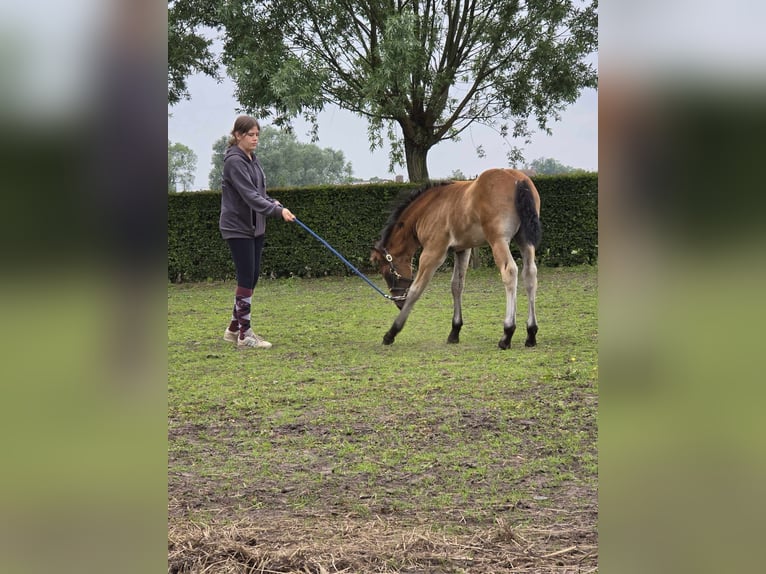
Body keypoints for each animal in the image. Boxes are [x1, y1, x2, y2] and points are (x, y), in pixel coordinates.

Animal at [370, 169, 540, 348]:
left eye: (387, 273)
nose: (398, 302)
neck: (429, 208)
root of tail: (518, 180)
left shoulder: (433, 252)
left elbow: (416, 289)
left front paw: (391, 332)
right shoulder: (462, 250)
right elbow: (457, 285)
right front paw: (455, 330)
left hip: (498, 241)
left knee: (510, 272)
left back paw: (507, 333)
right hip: (525, 240)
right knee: (530, 274)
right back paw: (531, 333)